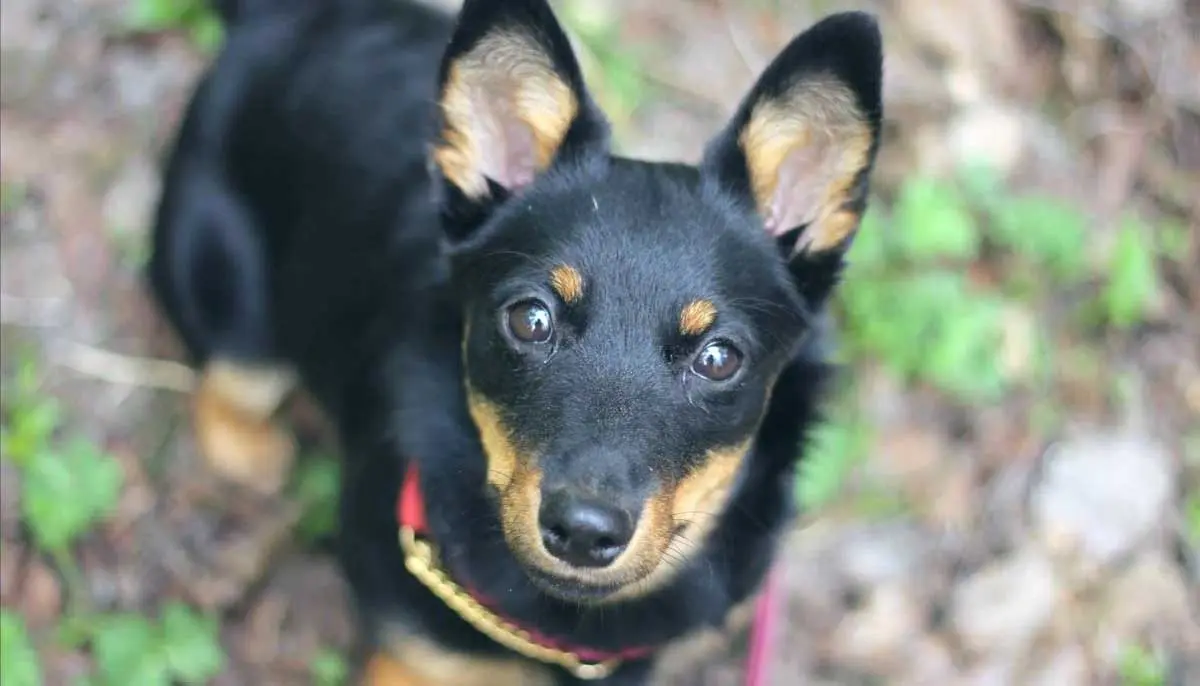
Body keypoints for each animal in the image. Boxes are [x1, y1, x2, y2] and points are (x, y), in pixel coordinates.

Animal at [145, 1, 888, 681]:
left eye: (718, 358)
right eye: (531, 319)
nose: (583, 532)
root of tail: (280, 16)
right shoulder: (413, 658)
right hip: (233, 304)